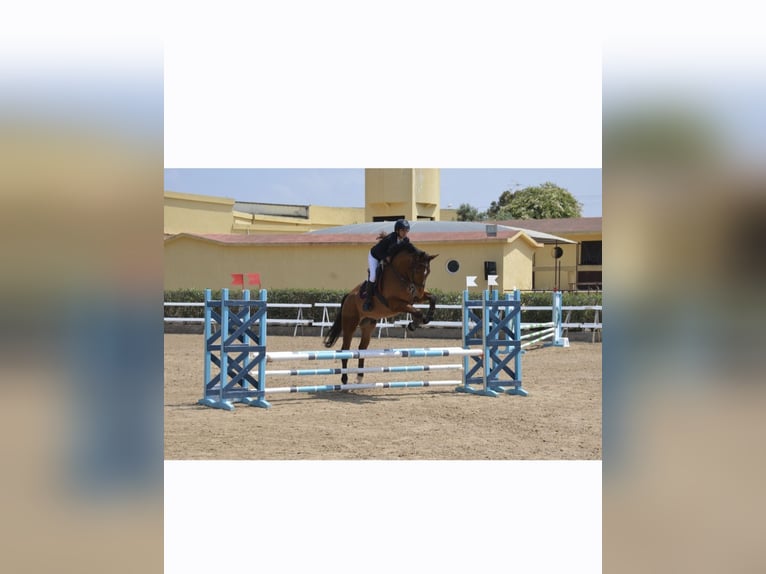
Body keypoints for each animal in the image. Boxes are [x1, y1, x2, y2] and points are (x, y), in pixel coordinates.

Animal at [323, 246, 438, 384]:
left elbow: (432, 298)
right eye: (417, 269)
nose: (419, 292)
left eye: (428, 271)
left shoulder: (413, 298)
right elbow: (418, 311)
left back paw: (360, 376)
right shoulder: (395, 303)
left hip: (368, 325)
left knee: (362, 348)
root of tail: (348, 296)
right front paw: (413, 324)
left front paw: (427, 318)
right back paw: (344, 379)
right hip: (350, 325)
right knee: (345, 350)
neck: (401, 275)